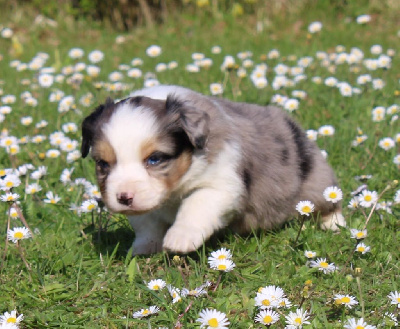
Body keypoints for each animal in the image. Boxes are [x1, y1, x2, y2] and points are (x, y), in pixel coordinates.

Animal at [80, 84, 344, 254]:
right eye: (103, 164)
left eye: (155, 159)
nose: (124, 198)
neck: (174, 190)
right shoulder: (145, 203)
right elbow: (146, 223)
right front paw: (143, 248)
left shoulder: (221, 184)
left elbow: (196, 204)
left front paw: (180, 238)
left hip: (316, 182)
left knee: (327, 202)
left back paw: (333, 224)